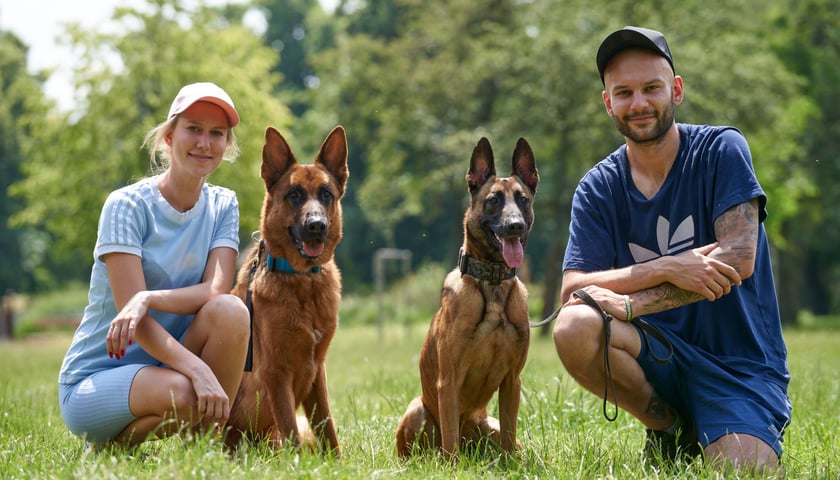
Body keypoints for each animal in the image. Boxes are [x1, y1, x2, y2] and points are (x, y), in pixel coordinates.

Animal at [223, 125, 348, 456]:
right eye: (294, 194)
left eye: (326, 194)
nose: (316, 225)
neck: (303, 282)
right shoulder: (277, 374)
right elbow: (291, 428)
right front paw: (298, 464)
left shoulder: (318, 371)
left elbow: (328, 428)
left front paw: (338, 463)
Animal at [394, 135, 540, 458]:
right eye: (494, 200)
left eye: (523, 199)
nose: (515, 226)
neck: (493, 282)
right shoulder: (449, 379)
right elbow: (450, 440)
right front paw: (454, 465)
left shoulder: (513, 380)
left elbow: (510, 433)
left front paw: (512, 465)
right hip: (416, 410)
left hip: (490, 425)